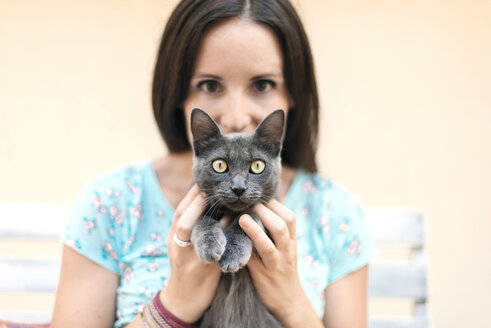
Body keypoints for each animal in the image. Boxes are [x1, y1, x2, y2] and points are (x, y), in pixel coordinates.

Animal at [190, 108, 286, 328]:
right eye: (219, 165)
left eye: (258, 166)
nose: (239, 188)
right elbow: (202, 220)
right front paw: (210, 245)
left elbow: (249, 214)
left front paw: (232, 254)